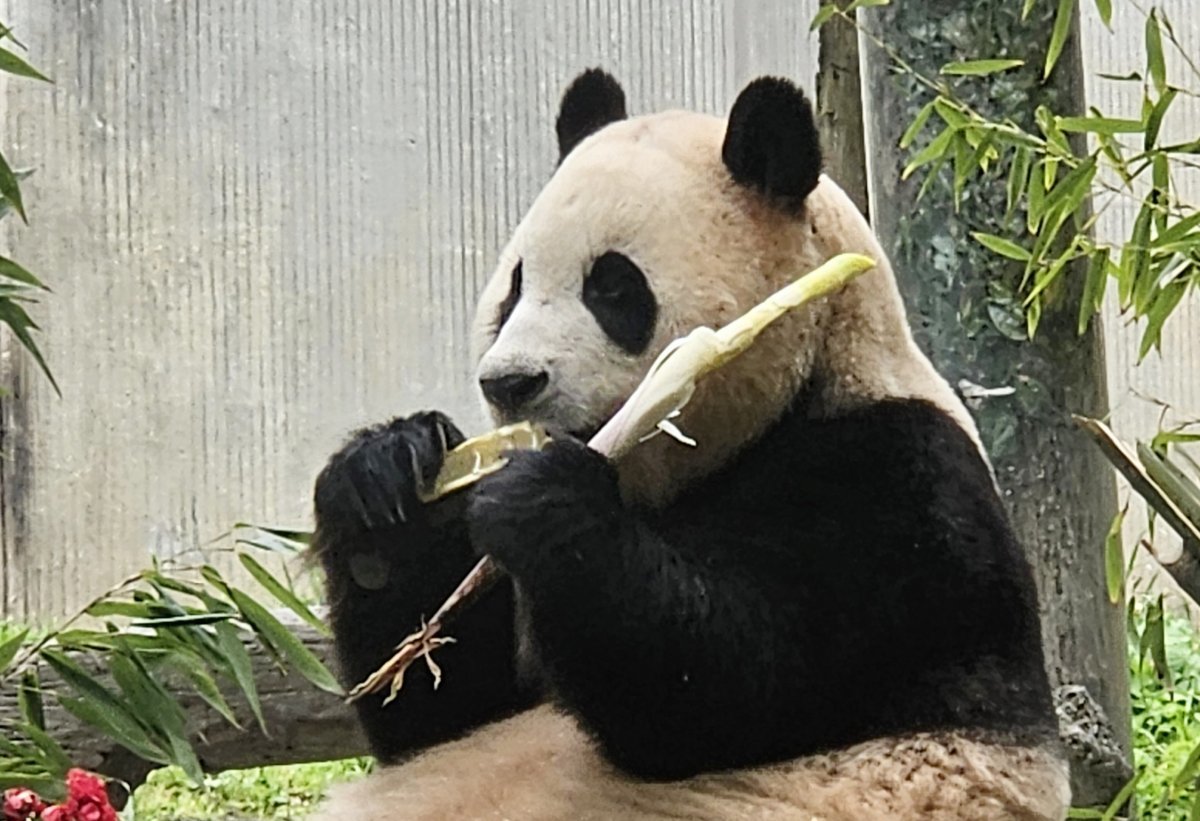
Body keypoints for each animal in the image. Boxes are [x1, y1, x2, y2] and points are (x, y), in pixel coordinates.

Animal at [309, 70, 1070, 820]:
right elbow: (446, 706)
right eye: (514, 288)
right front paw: (384, 477)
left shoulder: (897, 487)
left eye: (613, 288)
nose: (510, 381)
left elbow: (726, 690)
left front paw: (543, 500)